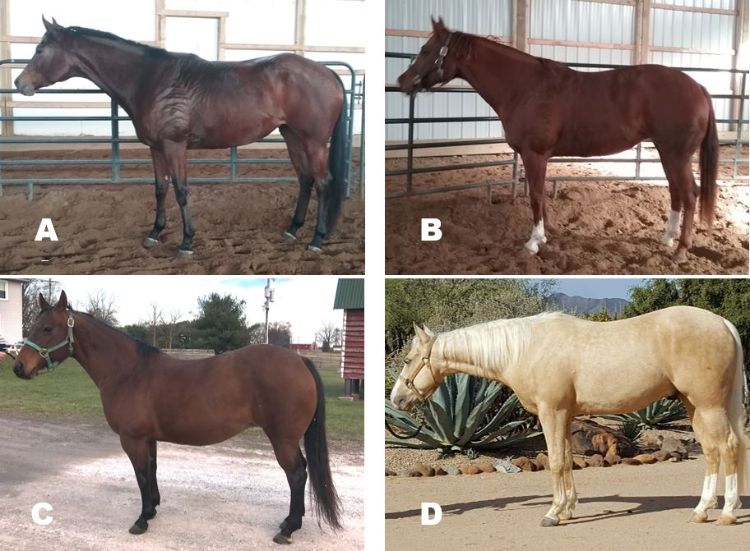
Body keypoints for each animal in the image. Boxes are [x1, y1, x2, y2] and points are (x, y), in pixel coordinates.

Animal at [12, 291, 342, 544]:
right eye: (34, 325)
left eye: (47, 328)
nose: (18, 368)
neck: (128, 371)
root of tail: (299, 358)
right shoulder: (148, 439)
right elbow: (152, 472)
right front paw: (153, 509)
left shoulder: (132, 439)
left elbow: (141, 475)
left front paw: (141, 520)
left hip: (282, 439)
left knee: (297, 475)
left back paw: (288, 529)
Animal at [14, 17, 348, 255]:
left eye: (40, 50)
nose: (19, 83)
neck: (149, 79)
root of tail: (328, 73)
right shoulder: (156, 148)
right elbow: (161, 189)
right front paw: (154, 234)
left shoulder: (175, 146)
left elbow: (181, 190)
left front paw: (187, 241)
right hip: (292, 135)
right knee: (305, 179)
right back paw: (293, 229)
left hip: (314, 141)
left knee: (322, 182)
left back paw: (317, 239)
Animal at [391, 306, 750, 527]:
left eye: (408, 360)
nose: (396, 399)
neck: (525, 349)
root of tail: (723, 324)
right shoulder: (564, 415)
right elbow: (565, 459)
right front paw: (568, 510)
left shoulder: (552, 412)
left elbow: (555, 461)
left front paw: (552, 514)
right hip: (696, 406)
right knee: (711, 452)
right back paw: (702, 511)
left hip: (709, 405)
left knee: (729, 448)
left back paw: (727, 513)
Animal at [397, 18, 719, 264]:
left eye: (426, 49)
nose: (402, 81)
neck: (526, 88)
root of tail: (699, 88)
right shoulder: (537, 157)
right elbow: (539, 196)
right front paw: (545, 235)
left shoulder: (534, 154)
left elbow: (536, 196)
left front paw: (533, 242)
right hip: (667, 153)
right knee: (677, 193)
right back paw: (667, 239)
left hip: (676, 154)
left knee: (690, 195)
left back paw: (681, 251)